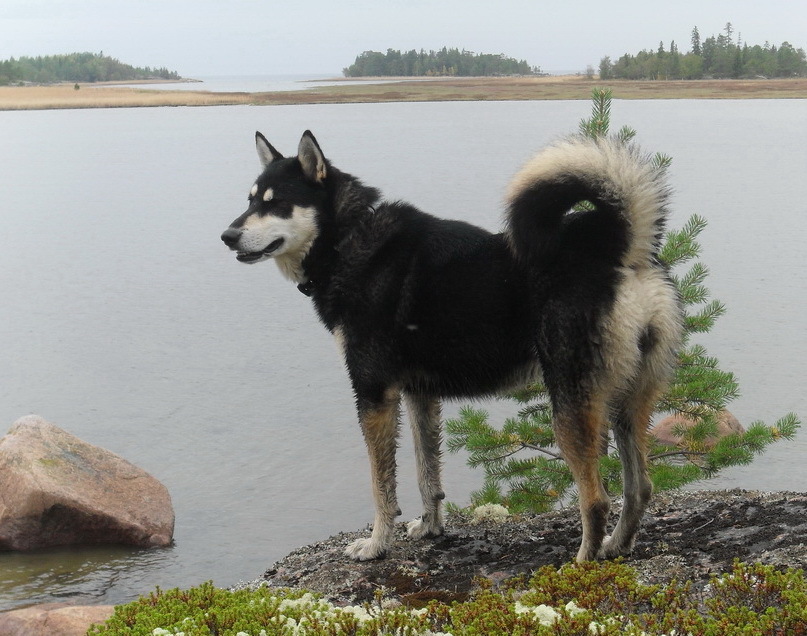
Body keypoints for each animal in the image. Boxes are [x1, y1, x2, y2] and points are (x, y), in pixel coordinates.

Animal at [219, 130, 680, 560]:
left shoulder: (373, 393)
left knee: (597, 499)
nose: (227, 235)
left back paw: (583, 563)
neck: (349, 241)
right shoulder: (419, 395)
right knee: (640, 486)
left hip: (570, 400)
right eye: (250, 200)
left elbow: (381, 486)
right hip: (626, 399)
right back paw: (616, 546)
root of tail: (619, 246)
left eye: (277, 204)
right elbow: (428, 476)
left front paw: (376, 545)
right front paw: (430, 528)